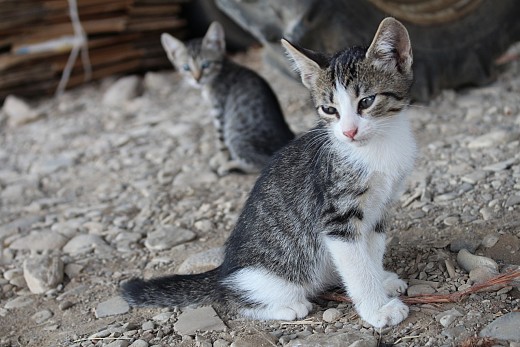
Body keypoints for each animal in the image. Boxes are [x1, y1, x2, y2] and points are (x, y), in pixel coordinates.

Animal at [160, 21, 294, 175]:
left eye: (206, 65)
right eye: (186, 67)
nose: (197, 79)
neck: (220, 72)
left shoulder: (219, 109)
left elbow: (221, 141)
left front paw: (222, 160)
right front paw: (219, 159)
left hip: (236, 136)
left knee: (259, 164)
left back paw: (230, 165)